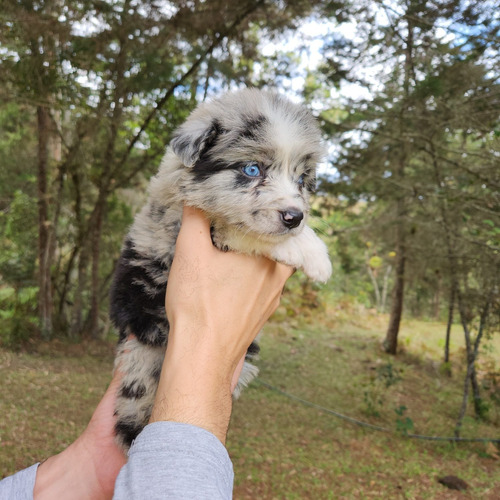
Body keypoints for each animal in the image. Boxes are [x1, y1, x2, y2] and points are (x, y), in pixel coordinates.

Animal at [111, 87, 334, 450]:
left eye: (301, 178)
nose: (294, 217)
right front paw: (314, 254)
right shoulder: (194, 229)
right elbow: (242, 229)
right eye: (252, 170)